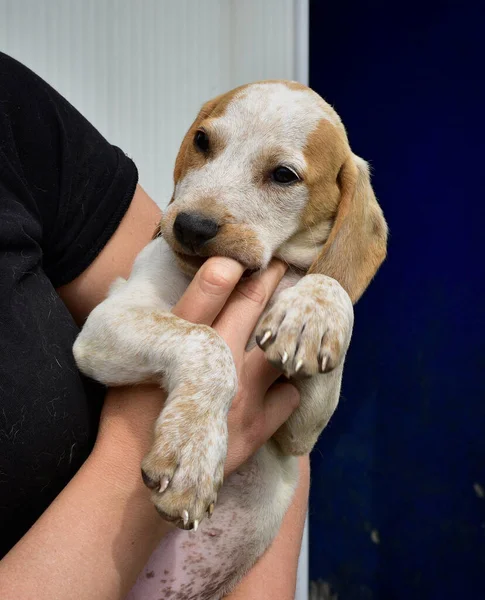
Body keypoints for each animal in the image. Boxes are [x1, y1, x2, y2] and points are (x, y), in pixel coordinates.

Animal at [73, 81, 388, 600]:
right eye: (202, 141)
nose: (190, 226)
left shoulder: (298, 432)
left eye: (283, 175)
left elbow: (329, 280)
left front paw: (315, 306)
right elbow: (206, 342)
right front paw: (192, 451)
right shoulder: (107, 322)